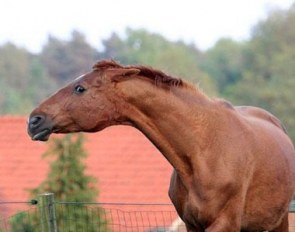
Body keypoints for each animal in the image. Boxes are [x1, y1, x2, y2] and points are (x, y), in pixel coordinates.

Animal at [27, 60, 295, 231]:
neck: (204, 150)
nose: (34, 120)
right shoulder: (191, 225)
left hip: (278, 222)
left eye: (80, 88)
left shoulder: (224, 224)